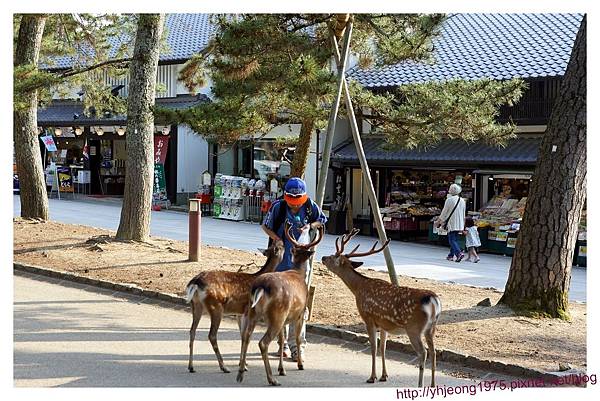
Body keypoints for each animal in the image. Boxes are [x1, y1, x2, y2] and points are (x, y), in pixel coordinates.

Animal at [184, 241, 284, 376]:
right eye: (280, 247)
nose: (282, 243)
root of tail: (195, 282)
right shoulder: (248, 310)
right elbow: (245, 336)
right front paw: (243, 366)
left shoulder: (239, 313)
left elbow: (242, 336)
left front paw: (244, 364)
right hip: (216, 307)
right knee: (212, 335)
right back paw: (224, 367)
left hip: (196, 305)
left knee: (192, 331)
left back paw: (191, 367)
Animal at [237, 223, 326, 386]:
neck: (298, 273)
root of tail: (261, 287)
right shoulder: (300, 313)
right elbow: (297, 338)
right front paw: (299, 365)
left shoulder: (286, 318)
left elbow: (282, 338)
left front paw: (282, 369)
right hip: (277, 313)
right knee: (263, 343)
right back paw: (272, 379)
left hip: (254, 313)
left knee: (246, 336)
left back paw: (241, 373)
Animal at [322, 228, 442, 388]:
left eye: (333, 256)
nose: (323, 257)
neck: (358, 288)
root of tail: (434, 301)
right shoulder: (384, 323)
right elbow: (383, 348)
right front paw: (384, 376)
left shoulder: (368, 318)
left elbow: (373, 347)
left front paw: (372, 377)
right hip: (431, 328)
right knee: (434, 352)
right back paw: (433, 385)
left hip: (414, 328)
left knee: (423, 353)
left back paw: (420, 384)